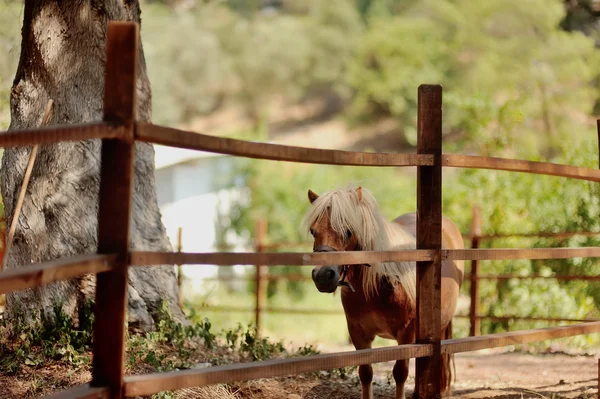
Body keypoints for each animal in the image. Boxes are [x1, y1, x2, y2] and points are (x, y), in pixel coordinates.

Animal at [304, 187, 464, 399]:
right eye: (313, 231)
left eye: (348, 231)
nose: (323, 275)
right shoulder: (358, 334)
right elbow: (365, 373)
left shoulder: (406, 335)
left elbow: (400, 372)